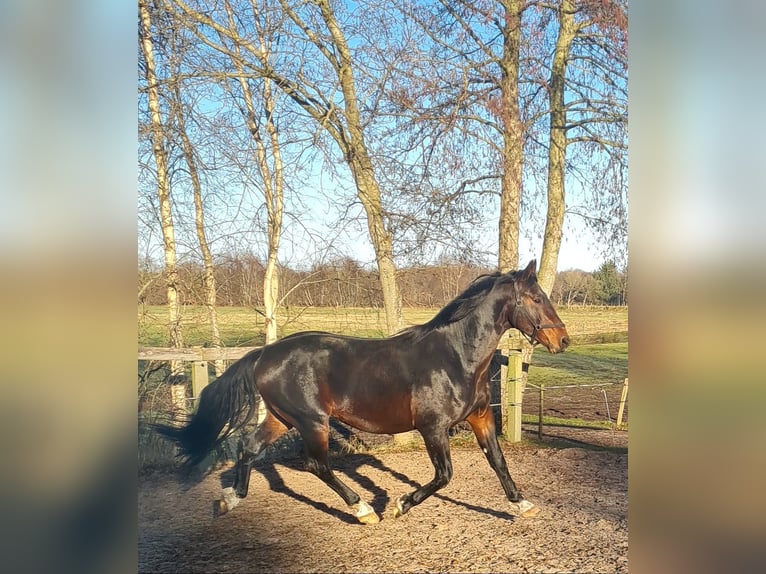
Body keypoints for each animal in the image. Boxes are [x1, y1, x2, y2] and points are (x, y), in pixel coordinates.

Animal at [155, 260, 569, 524]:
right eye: (536, 299)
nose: (562, 340)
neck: (456, 356)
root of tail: (264, 354)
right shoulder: (433, 427)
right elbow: (444, 475)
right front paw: (399, 505)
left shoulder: (480, 417)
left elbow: (498, 462)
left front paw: (522, 504)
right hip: (313, 421)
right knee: (317, 465)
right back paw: (363, 510)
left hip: (281, 418)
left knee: (249, 447)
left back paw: (229, 501)